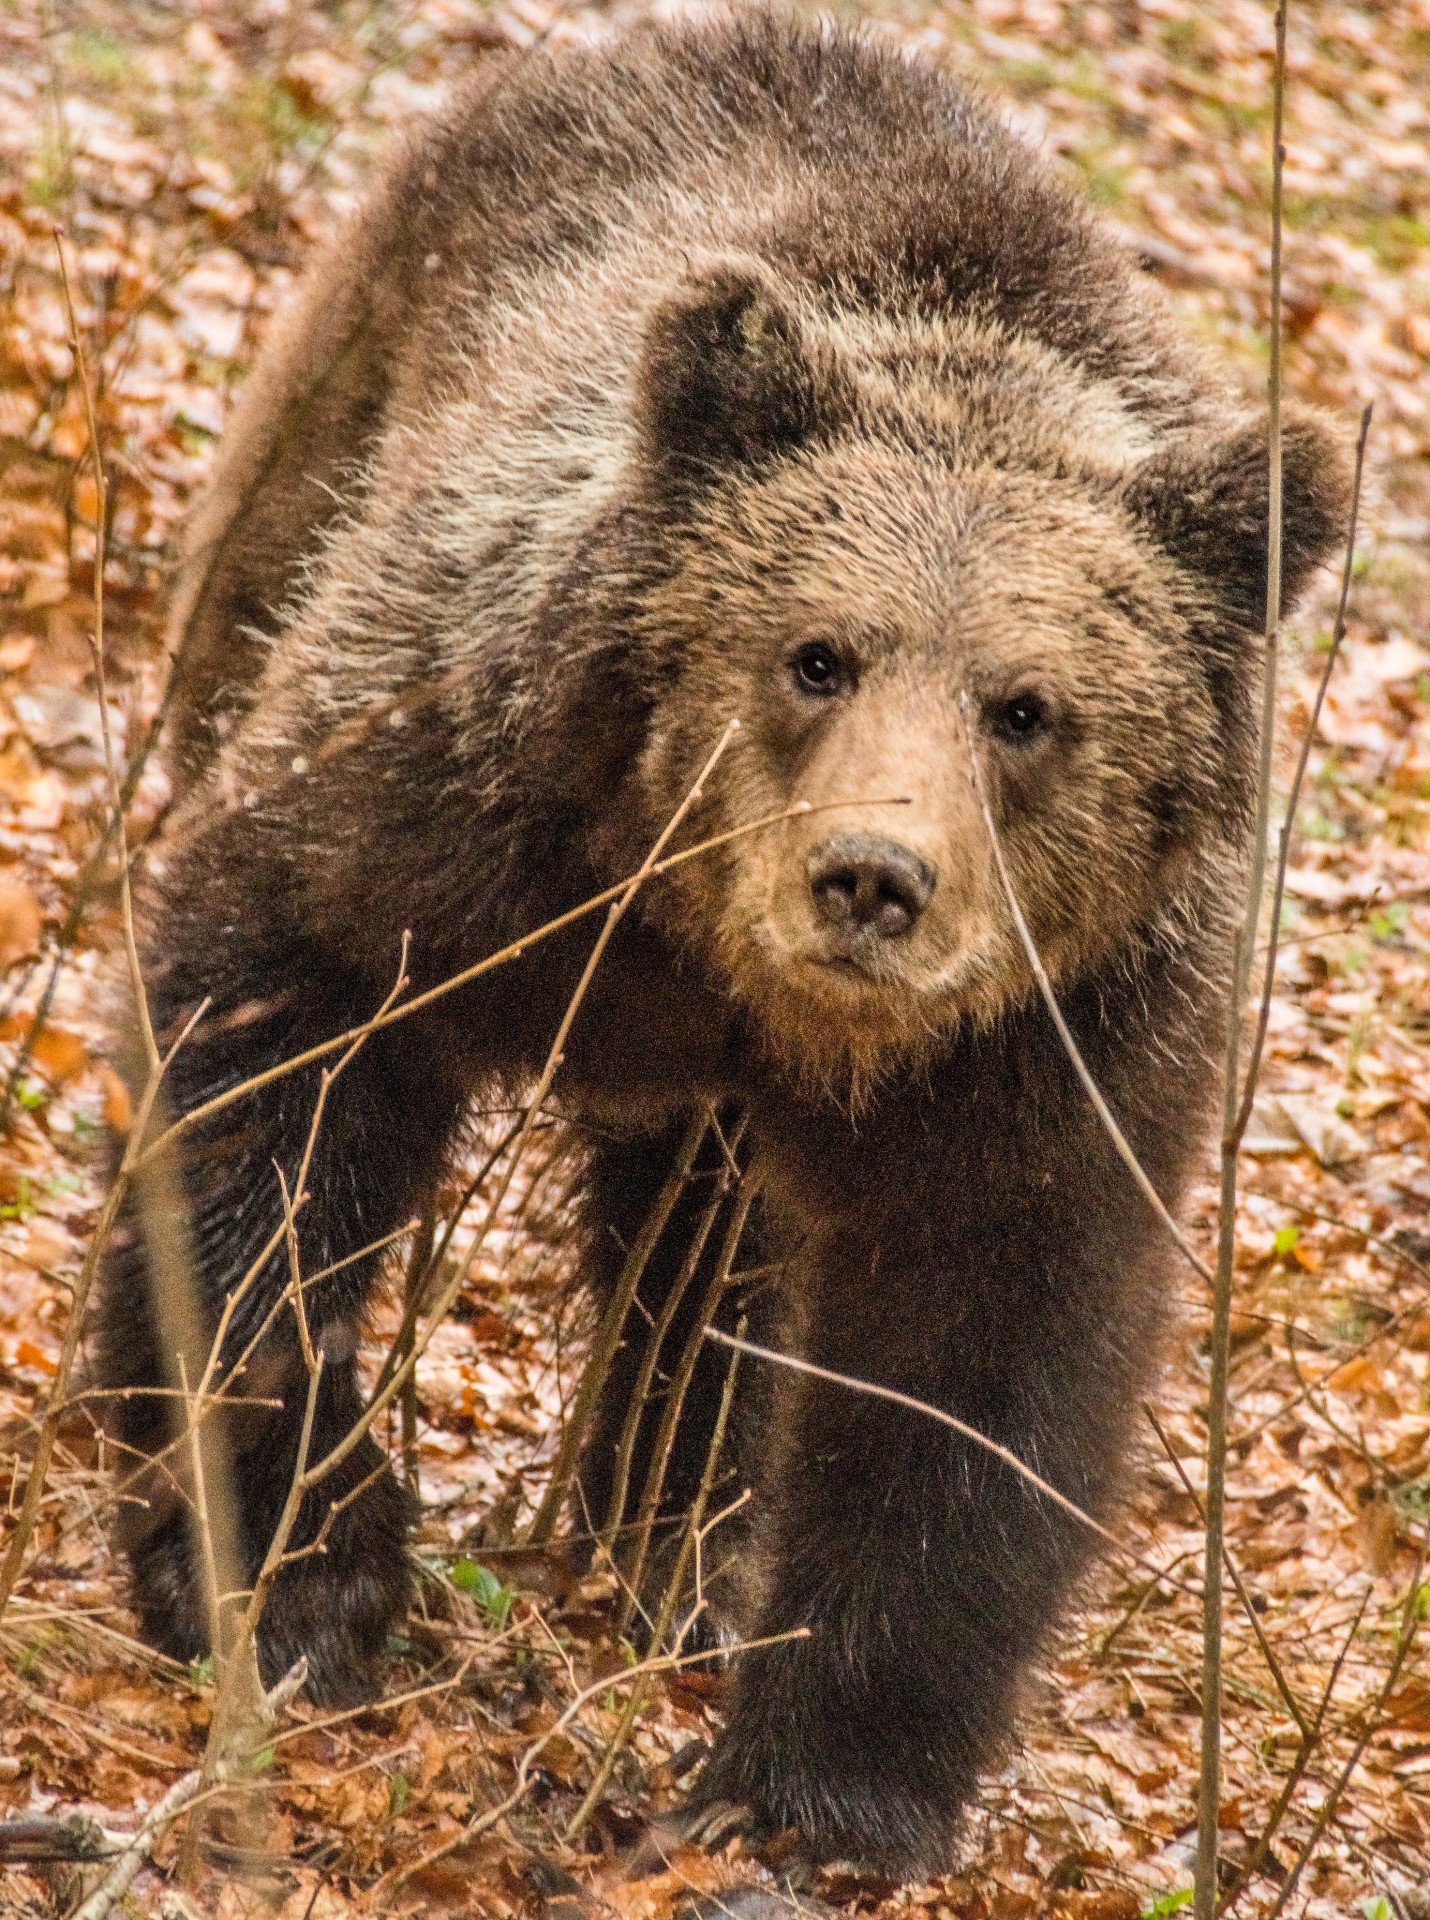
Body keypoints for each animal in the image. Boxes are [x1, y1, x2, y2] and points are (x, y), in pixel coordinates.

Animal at [94, 5, 1350, 1879]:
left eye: (1027, 708)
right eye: (817, 652)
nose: (873, 880)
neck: (710, 956)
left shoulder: (1050, 1043)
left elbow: (978, 1364)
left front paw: (816, 1789)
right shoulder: (460, 807)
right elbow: (273, 1071)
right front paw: (301, 1572)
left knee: (708, 1254)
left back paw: (670, 1536)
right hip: (311, 467)